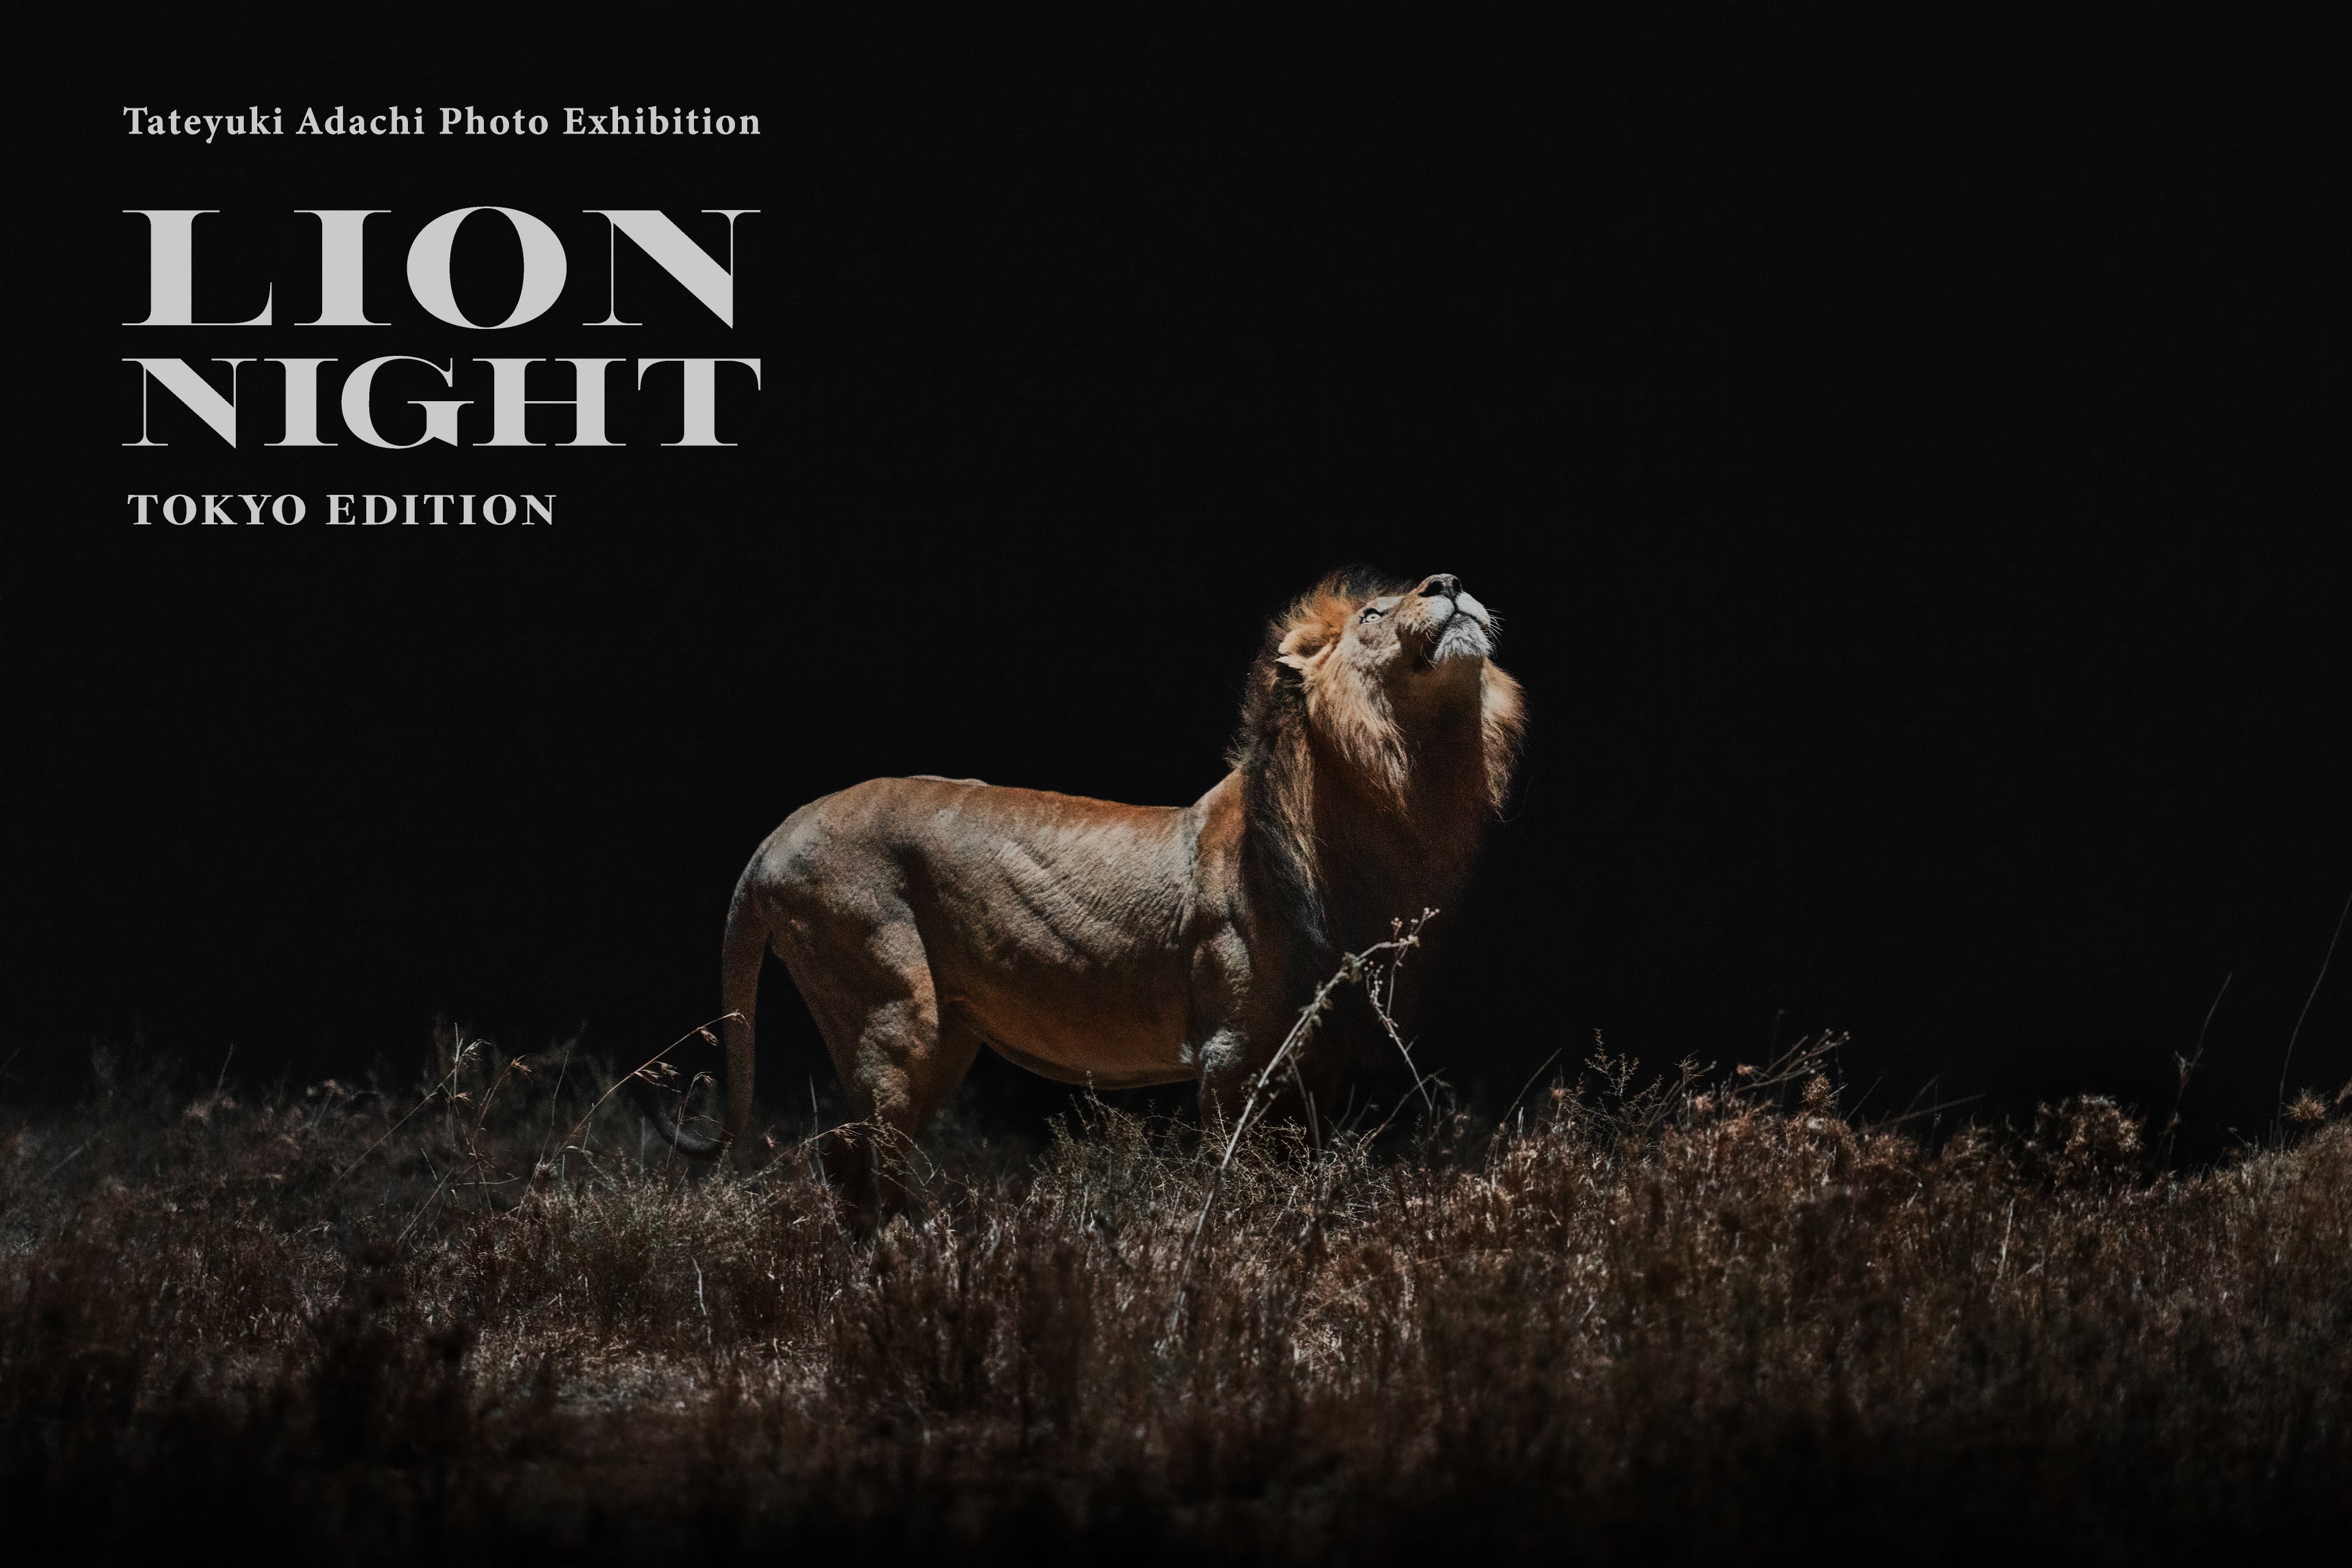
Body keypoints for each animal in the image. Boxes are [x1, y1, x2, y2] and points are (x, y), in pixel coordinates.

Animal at [634, 569, 1524, 1209]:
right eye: (1375, 612)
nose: (1448, 580)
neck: (1403, 788)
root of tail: (777, 835)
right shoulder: (1232, 1053)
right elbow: (1238, 1181)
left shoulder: (1319, 1056)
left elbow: (1301, 1176)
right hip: (891, 1009)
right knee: (857, 1161)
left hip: (944, 1037)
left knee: (865, 1157)